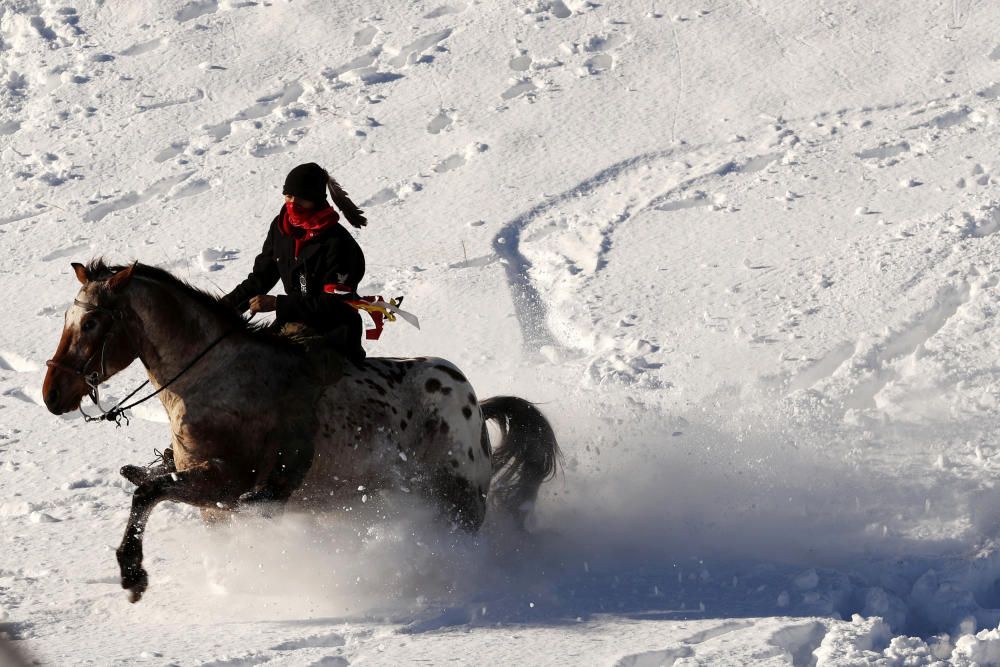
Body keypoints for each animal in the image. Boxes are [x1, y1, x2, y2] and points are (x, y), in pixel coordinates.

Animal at [43, 262, 560, 604]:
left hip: (458, 502)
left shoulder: (226, 485)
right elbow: (153, 493)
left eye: (91, 321)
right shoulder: (213, 506)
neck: (207, 379)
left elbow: (146, 493)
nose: (52, 394)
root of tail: (474, 404)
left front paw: (133, 576)